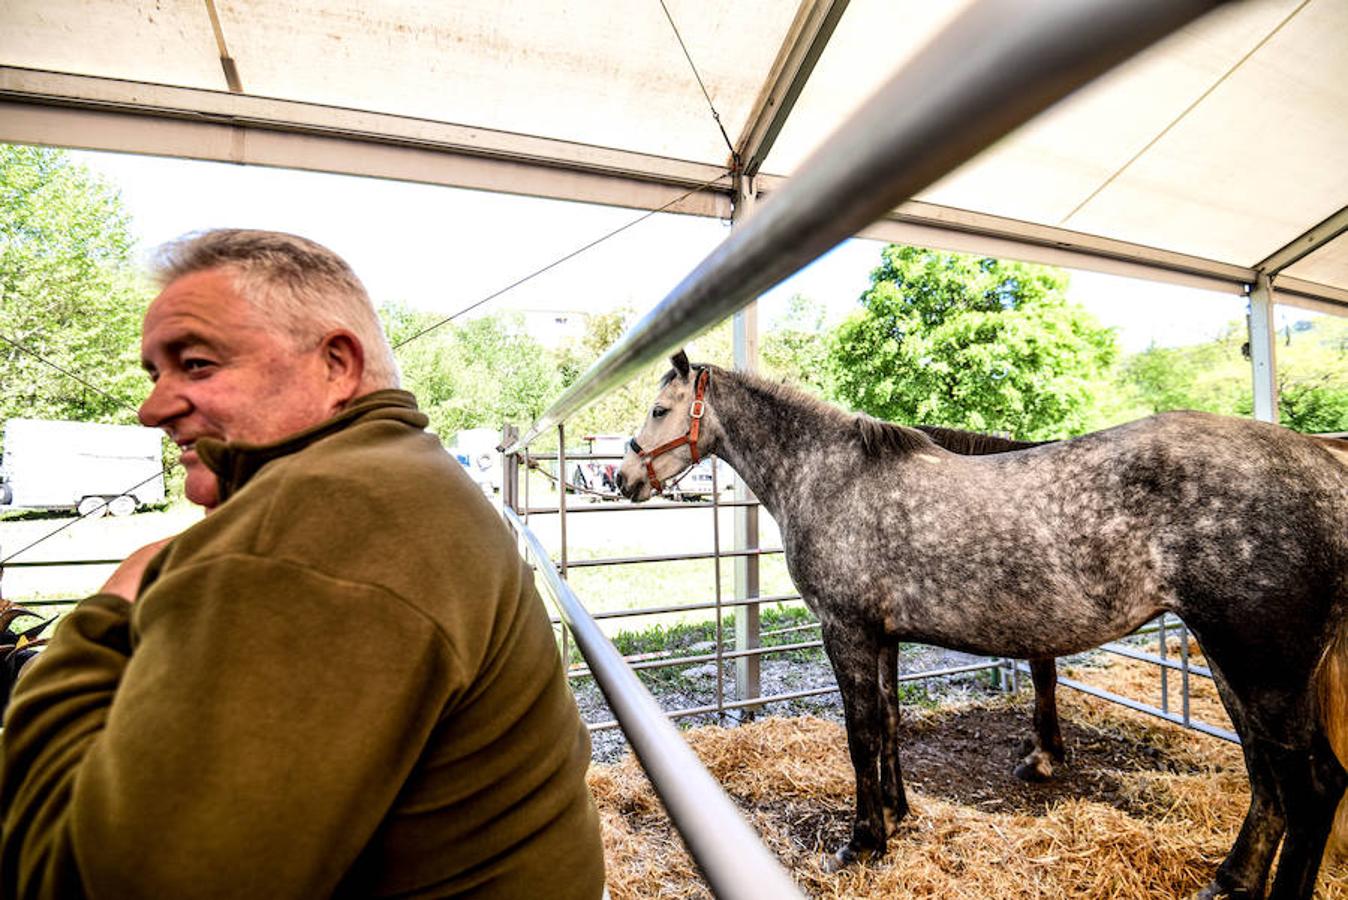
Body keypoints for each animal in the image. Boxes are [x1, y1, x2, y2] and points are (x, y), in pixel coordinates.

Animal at [617, 350, 1348, 900]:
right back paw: (1230, 881)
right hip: (1237, 666)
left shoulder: (846, 631)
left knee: (1311, 788)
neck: (829, 477)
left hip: (1265, 669)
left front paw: (863, 842)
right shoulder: (883, 637)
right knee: (1269, 777)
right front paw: (897, 815)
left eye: (659, 410)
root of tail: (1327, 471)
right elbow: (889, 722)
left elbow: (860, 734)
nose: (620, 477)